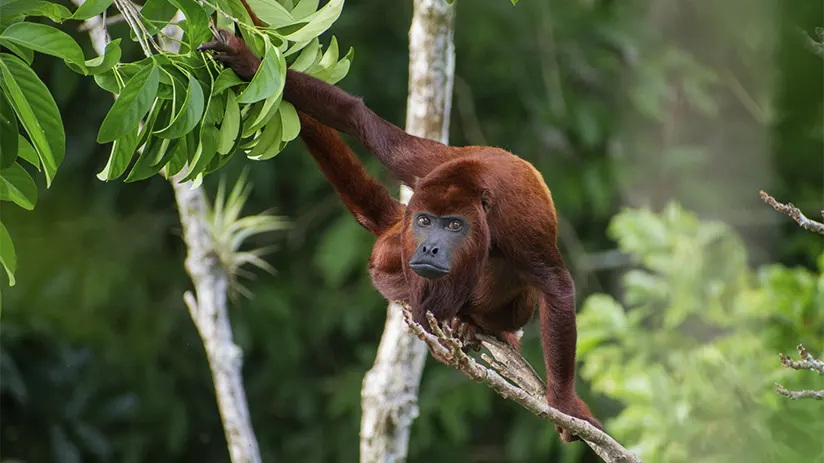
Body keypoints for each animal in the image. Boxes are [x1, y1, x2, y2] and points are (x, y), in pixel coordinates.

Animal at [197, 4, 600, 446]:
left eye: (454, 226)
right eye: (425, 221)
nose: (428, 246)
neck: (477, 189)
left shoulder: (517, 223)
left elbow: (556, 286)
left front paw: (563, 404)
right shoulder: (428, 168)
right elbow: (357, 118)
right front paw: (248, 63)